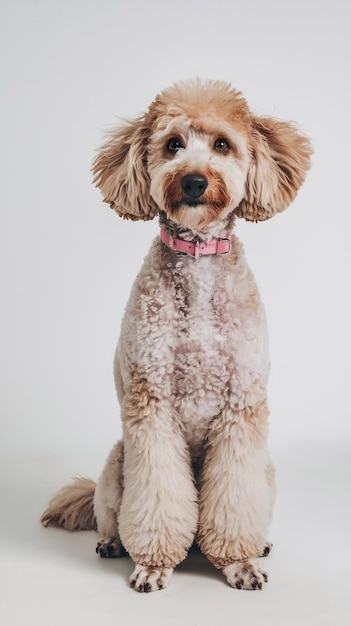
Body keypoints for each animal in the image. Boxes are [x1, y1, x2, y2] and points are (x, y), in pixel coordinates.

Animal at [41, 78, 314, 588]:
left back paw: (260, 543)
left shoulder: (241, 407)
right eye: (172, 145)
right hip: (117, 462)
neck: (198, 259)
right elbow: (157, 497)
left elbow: (233, 500)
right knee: (110, 512)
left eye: (222, 145)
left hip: (266, 469)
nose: (193, 181)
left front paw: (239, 561)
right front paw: (152, 563)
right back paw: (111, 542)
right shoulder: (152, 406)